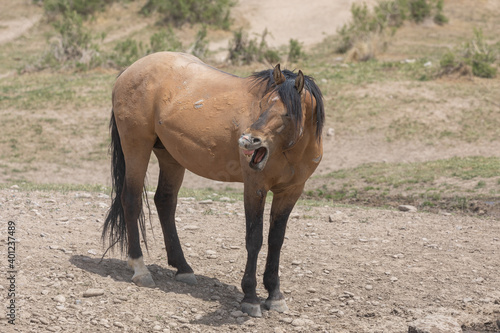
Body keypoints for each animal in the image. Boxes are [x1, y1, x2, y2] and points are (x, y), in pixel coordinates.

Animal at [103, 50, 326, 316]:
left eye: (287, 113)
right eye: (262, 105)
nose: (248, 140)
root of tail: (129, 71)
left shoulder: (290, 192)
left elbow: (276, 240)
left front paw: (275, 294)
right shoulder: (255, 188)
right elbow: (254, 239)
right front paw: (250, 297)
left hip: (170, 157)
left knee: (164, 202)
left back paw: (183, 268)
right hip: (137, 147)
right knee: (132, 200)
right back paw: (140, 269)